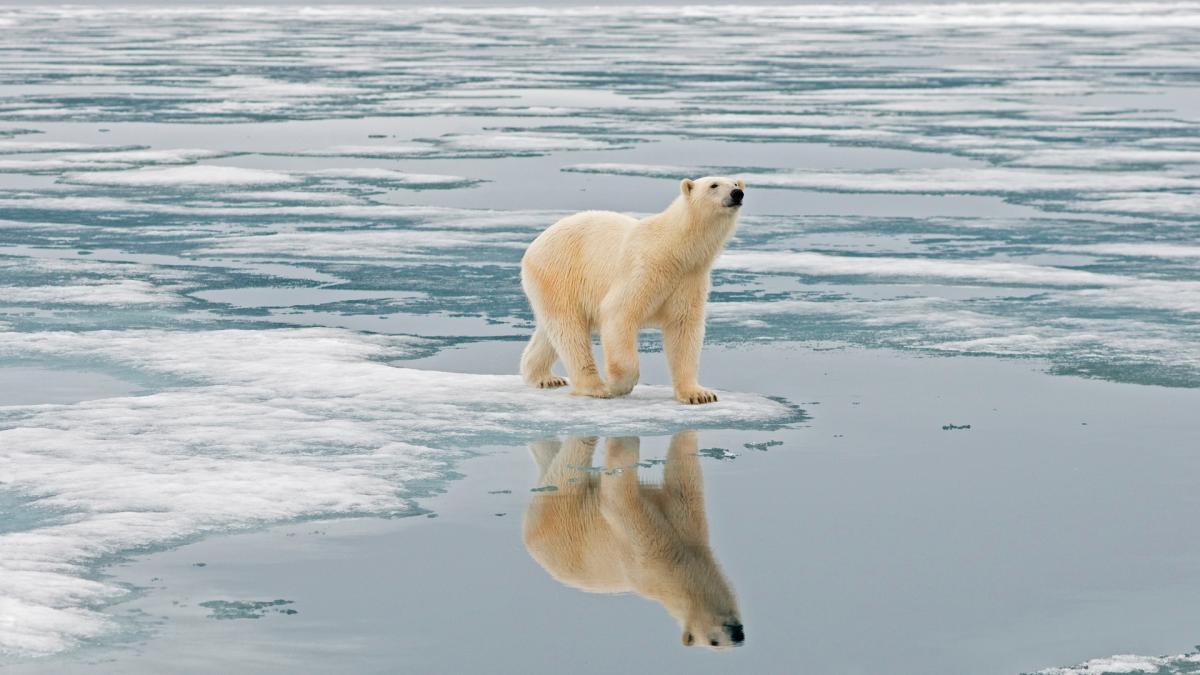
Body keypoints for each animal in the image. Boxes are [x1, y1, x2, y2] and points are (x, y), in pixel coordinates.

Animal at [520, 176, 744, 401]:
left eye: (735, 184)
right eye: (714, 185)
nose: (737, 194)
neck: (675, 249)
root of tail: (532, 247)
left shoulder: (690, 278)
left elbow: (684, 328)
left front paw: (699, 394)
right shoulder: (644, 268)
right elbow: (618, 313)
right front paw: (617, 385)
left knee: (550, 333)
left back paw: (545, 378)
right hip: (559, 273)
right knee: (569, 330)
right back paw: (595, 387)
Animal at [523, 429, 744, 648]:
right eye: (713, 642)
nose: (737, 635)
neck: (677, 566)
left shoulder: (685, 523)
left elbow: (681, 473)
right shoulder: (646, 553)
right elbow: (617, 498)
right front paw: (625, 440)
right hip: (560, 514)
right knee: (571, 464)